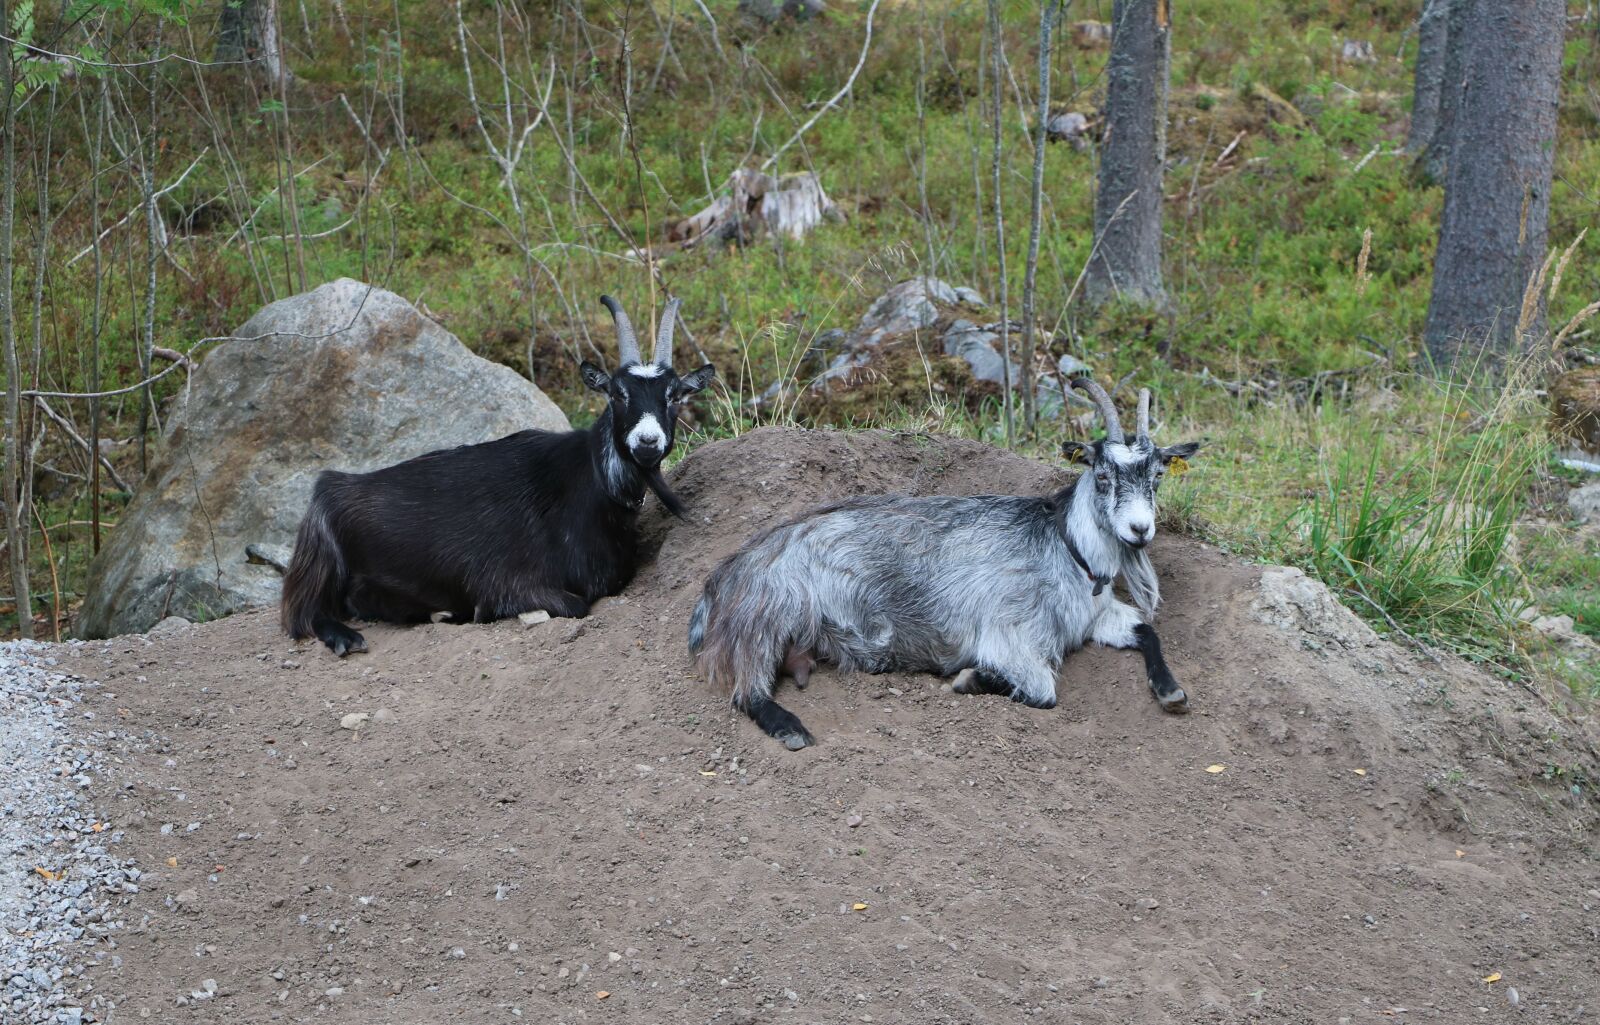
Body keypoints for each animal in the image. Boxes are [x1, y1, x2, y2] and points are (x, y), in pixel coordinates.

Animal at [282, 295, 715, 656]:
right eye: (618, 393)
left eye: (674, 395)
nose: (647, 441)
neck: (589, 480)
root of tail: (331, 487)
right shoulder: (508, 585)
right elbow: (573, 604)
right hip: (320, 562)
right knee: (308, 611)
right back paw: (354, 634)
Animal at [687, 378, 1200, 749]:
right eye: (1102, 474)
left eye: (1158, 476)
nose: (1139, 529)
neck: (1067, 550)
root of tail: (730, 571)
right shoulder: (1009, 634)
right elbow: (1043, 690)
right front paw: (971, 679)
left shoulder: (1096, 618)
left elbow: (1146, 630)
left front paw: (1171, 691)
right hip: (770, 611)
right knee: (747, 691)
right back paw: (790, 728)